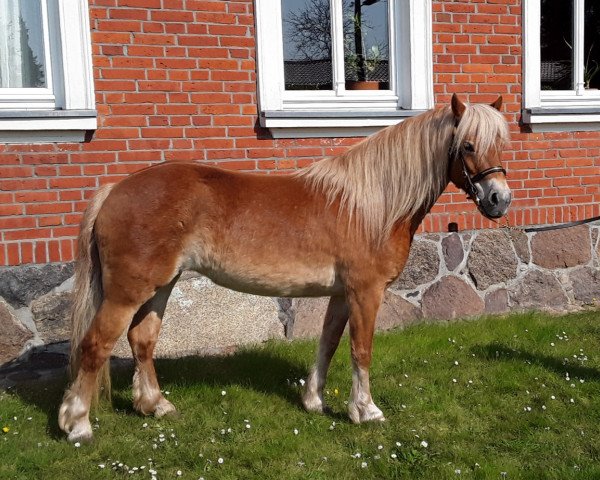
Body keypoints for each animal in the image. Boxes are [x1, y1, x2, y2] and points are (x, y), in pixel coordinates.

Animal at [59, 94, 510, 442]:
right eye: (468, 145)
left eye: (500, 144)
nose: (499, 200)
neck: (372, 205)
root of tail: (115, 189)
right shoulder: (366, 291)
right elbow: (361, 349)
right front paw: (365, 411)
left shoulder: (341, 294)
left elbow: (329, 343)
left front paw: (313, 401)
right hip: (126, 292)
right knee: (95, 345)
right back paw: (78, 425)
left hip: (161, 286)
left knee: (142, 341)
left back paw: (155, 405)